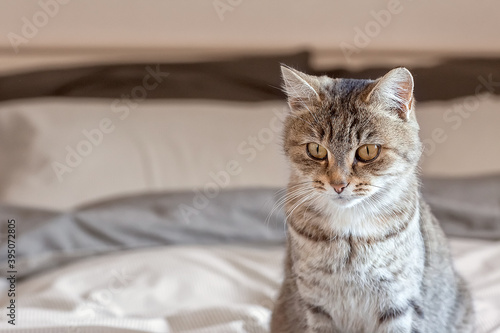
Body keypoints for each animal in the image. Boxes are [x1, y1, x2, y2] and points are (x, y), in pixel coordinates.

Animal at [272, 65, 474, 332]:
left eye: (368, 151)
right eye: (316, 150)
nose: (338, 184)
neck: (349, 234)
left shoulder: (396, 301)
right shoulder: (317, 305)